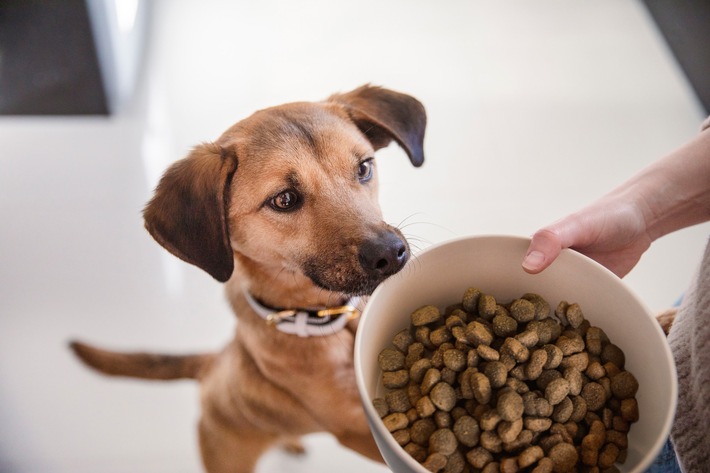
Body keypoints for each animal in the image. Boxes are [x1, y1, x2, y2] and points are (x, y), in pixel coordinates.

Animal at [69, 85, 428, 472]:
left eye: (363, 167)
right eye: (284, 199)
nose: (390, 253)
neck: (326, 321)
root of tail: (211, 364)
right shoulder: (355, 429)